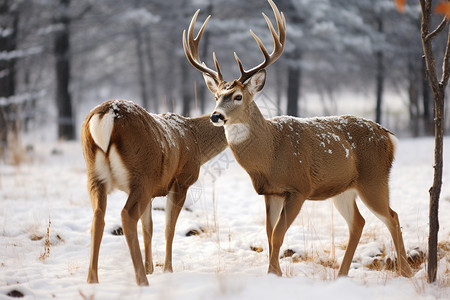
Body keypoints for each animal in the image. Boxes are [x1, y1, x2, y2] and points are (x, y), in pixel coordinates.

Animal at [81, 99, 227, 284]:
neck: (196, 140)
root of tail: (106, 114)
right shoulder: (181, 182)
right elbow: (169, 228)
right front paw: (167, 270)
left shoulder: (151, 192)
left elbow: (147, 228)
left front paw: (150, 268)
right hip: (141, 176)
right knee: (126, 215)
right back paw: (142, 280)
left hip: (95, 176)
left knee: (98, 216)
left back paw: (92, 280)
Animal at [182, 0, 412, 278]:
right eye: (216, 96)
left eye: (237, 96)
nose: (216, 115)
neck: (269, 154)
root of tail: (389, 136)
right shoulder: (270, 192)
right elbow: (269, 234)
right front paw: (273, 272)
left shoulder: (299, 187)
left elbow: (278, 234)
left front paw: (274, 274)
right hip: (344, 188)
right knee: (359, 222)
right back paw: (341, 275)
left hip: (374, 178)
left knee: (392, 216)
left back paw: (406, 271)